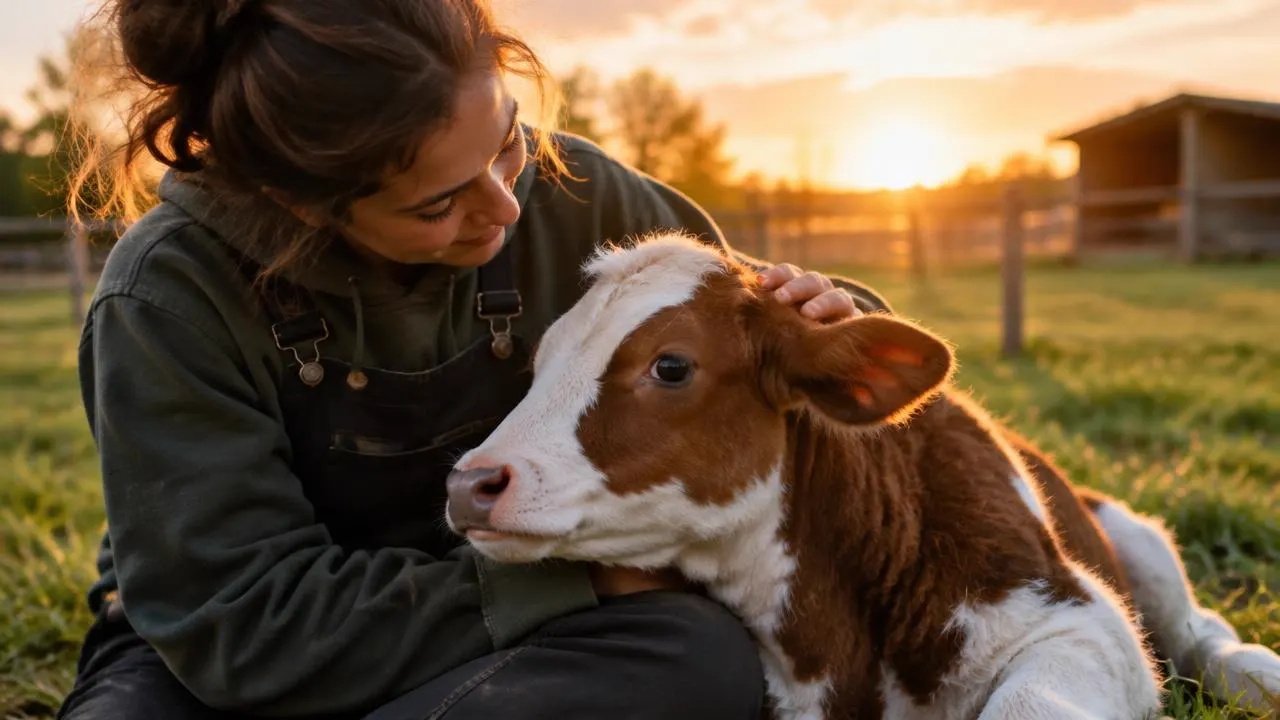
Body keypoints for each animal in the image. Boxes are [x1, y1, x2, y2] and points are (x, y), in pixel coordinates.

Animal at [444, 232, 1280, 719]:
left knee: (1195, 628)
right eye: (539, 362)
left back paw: (1253, 671)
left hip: (1134, 537)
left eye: (672, 365)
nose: (470, 484)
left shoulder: (1077, 624)